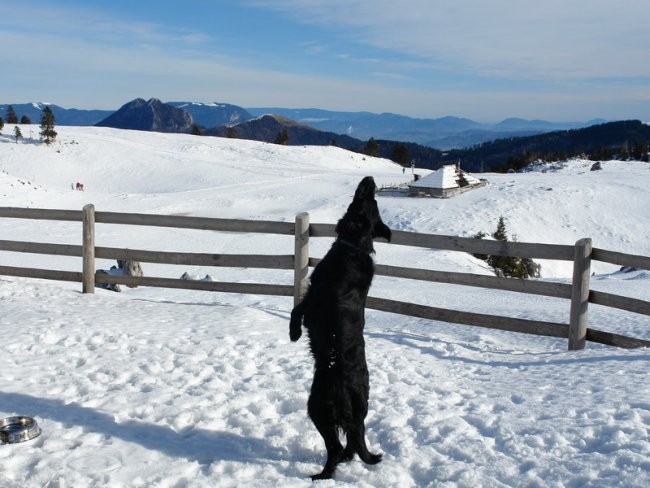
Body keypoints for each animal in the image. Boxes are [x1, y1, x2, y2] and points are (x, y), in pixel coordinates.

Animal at [288, 176, 390, 480]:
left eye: (367, 199)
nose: (370, 179)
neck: (353, 246)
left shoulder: (315, 295)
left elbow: (296, 310)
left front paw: (294, 333)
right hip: (346, 412)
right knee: (352, 444)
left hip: (318, 408)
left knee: (337, 447)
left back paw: (321, 475)